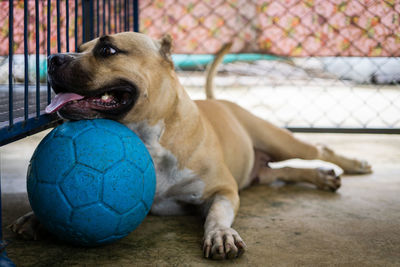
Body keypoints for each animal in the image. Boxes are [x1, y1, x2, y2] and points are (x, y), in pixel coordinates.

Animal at [10, 32, 372, 260]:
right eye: (80, 46)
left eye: (107, 50)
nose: (52, 58)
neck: (149, 139)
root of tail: (222, 101)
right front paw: (35, 217)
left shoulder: (223, 189)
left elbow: (217, 215)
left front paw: (221, 234)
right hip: (259, 171)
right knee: (283, 173)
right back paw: (322, 177)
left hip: (279, 141)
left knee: (318, 150)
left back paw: (353, 165)